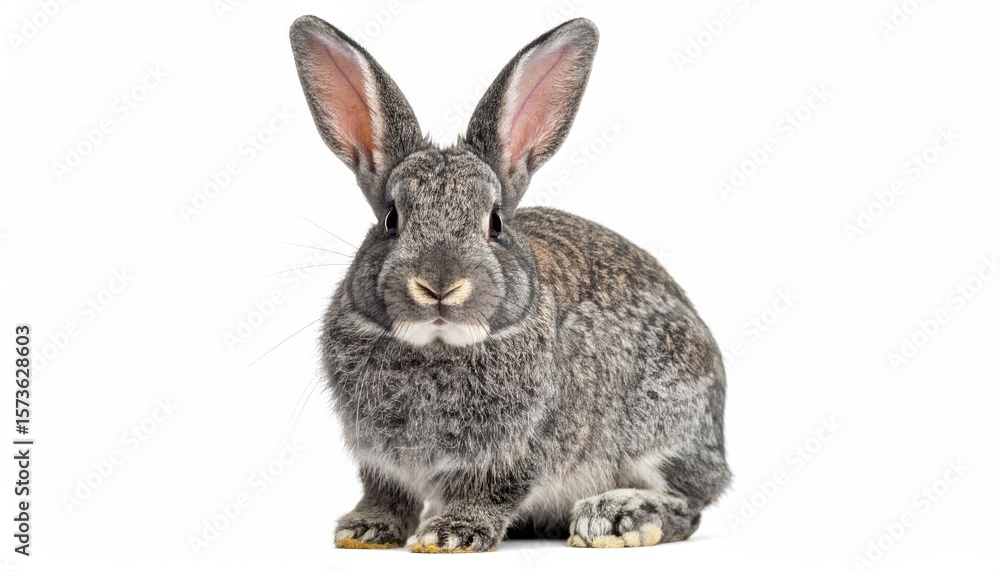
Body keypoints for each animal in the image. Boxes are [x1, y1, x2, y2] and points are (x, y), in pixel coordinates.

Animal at [289, 14, 731, 552]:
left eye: (495, 223)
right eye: (391, 220)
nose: (440, 285)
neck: (437, 348)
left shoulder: (519, 451)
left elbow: (492, 490)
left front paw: (452, 534)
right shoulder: (380, 461)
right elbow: (387, 494)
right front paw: (366, 529)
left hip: (664, 428)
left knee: (689, 507)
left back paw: (613, 517)